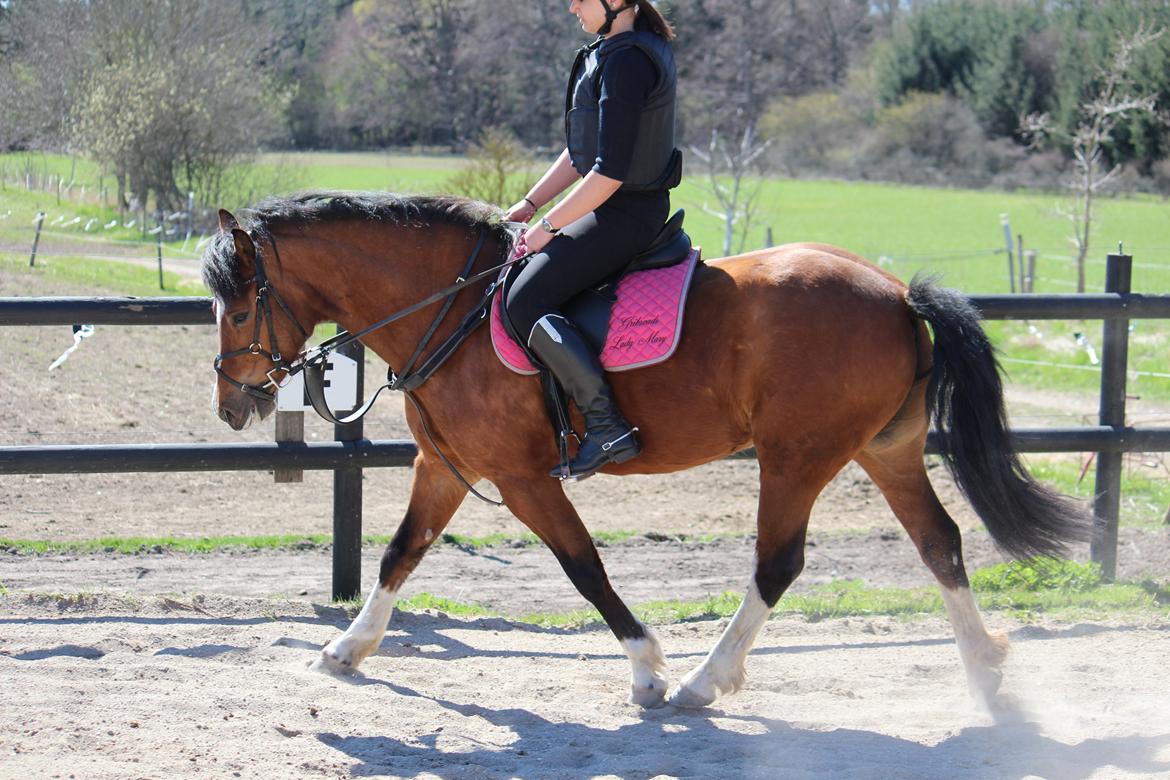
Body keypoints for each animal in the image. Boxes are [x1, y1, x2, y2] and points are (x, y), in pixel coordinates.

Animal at [201, 191, 1085, 711]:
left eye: (240, 306)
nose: (233, 404)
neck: (451, 309)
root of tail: (897, 294)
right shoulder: (447, 466)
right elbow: (398, 554)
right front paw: (346, 649)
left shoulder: (522, 478)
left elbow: (583, 567)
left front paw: (647, 667)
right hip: (885, 451)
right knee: (941, 543)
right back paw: (985, 667)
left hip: (797, 457)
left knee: (778, 564)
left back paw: (702, 680)